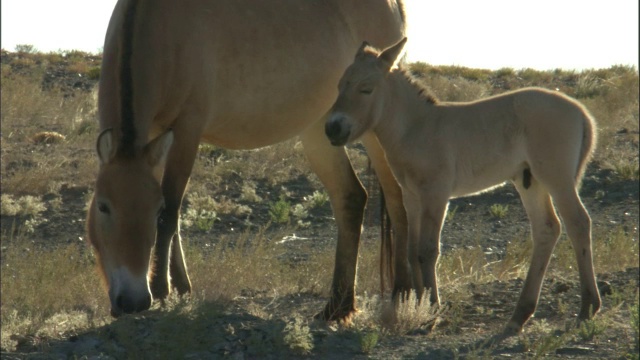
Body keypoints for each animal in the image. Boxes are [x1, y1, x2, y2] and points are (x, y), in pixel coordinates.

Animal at [85, 0, 410, 320]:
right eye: (103, 206)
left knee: (397, 198)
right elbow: (173, 215)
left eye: (153, 210)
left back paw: (402, 292)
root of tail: (395, 6)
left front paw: (163, 289)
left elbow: (171, 213)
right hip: (320, 129)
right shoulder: (155, 138)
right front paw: (181, 287)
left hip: (373, 131)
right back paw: (337, 306)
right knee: (350, 197)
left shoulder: (187, 130)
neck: (157, 28)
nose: (133, 301)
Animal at [324, 37, 600, 334]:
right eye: (339, 85)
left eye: (366, 88)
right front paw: (419, 305)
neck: (417, 127)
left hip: (556, 178)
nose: (332, 128)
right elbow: (411, 250)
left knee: (578, 223)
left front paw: (432, 309)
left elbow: (427, 250)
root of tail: (581, 112)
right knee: (547, 229)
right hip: (530, 182)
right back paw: (520, 315)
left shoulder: (436, 194)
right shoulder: (412, 197)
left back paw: (587, 307)